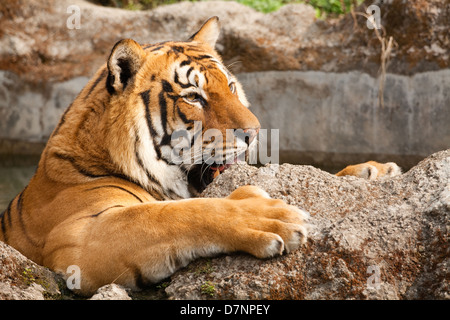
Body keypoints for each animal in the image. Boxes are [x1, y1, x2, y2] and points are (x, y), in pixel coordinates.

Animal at [0, 17, 310, 296]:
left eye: (231, 87)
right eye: (193, 97)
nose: (254, 132)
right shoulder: (82, 234)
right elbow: (181, 213)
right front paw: (273, 214)